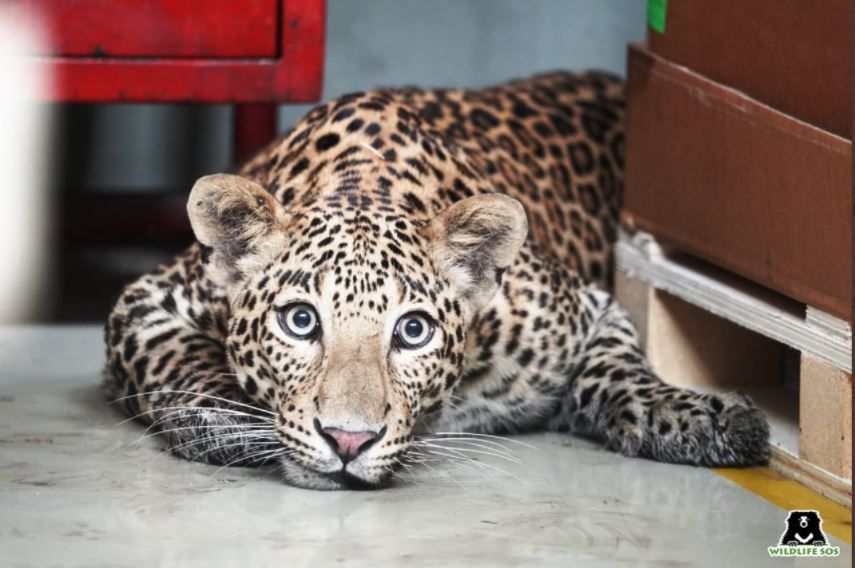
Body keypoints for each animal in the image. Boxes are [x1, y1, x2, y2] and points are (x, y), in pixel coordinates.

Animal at [103, 71, 772, 488]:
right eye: (300, 321)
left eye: (413, 332)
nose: (348, 441)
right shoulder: (146, 304)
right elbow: (181, 363)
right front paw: (236, 423)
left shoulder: (590, 311)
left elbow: (622, 371)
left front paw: (702, 416)